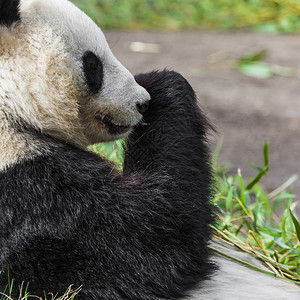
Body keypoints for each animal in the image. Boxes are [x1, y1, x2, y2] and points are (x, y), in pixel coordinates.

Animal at [1, 0, 300, 300]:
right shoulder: (31, 198)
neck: (10, 108)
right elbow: (148, 240)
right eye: (93, 64)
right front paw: (163, 83)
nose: (141, 102)